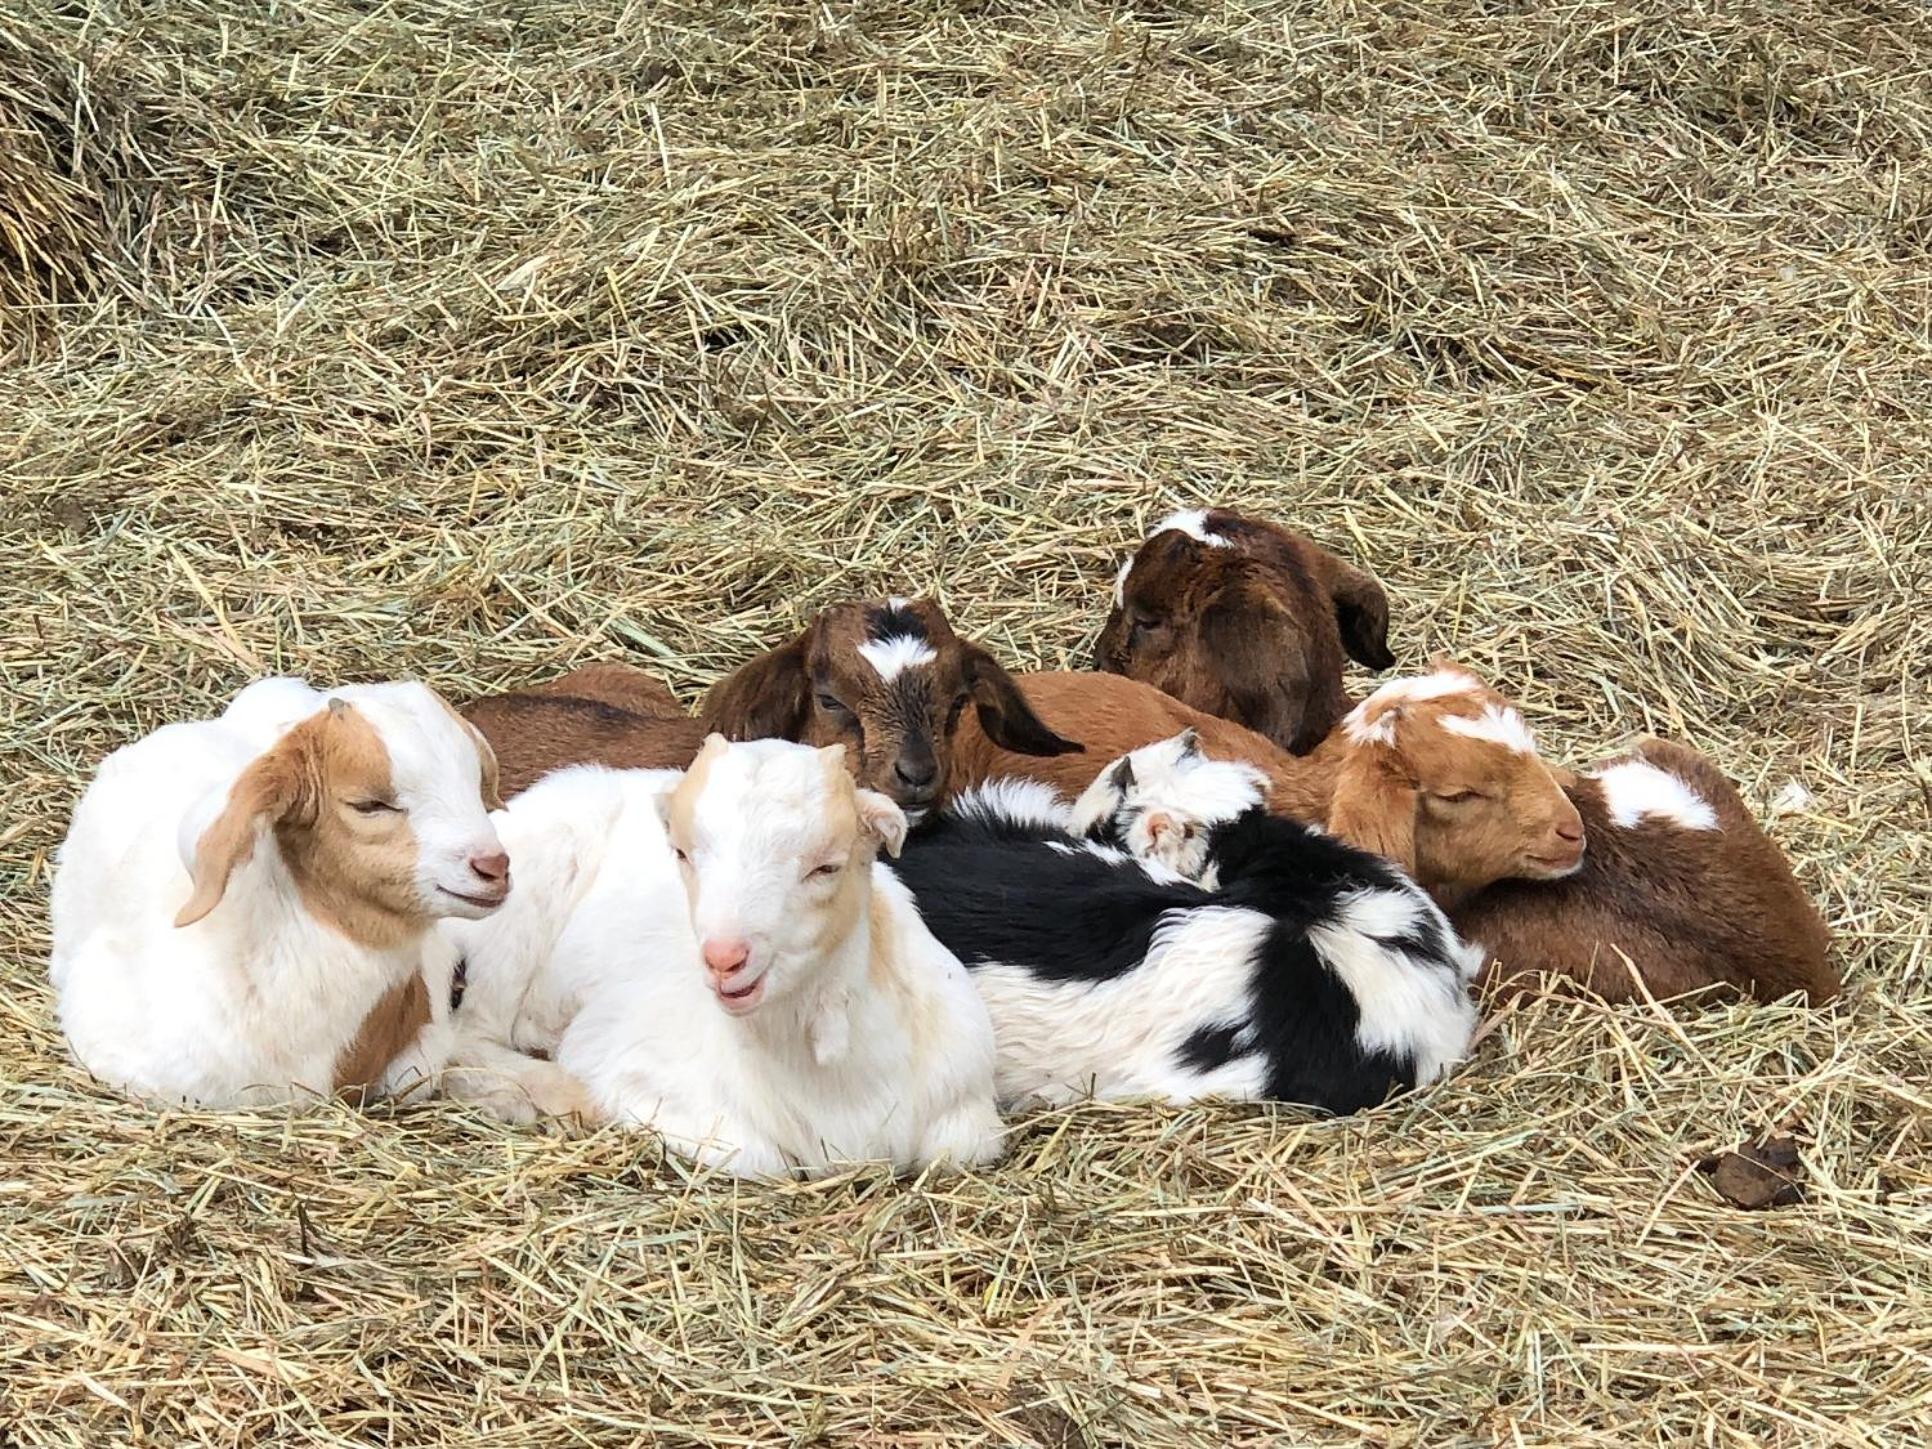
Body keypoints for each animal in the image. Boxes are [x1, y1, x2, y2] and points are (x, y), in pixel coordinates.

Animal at [446, 737, 1005, 1179]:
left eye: (827, 867)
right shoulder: (633, 1066)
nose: (724, 958)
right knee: (470, 1036)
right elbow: (759, 1157)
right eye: (681, 853)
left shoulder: (968, 1107)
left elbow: (955, 1147)